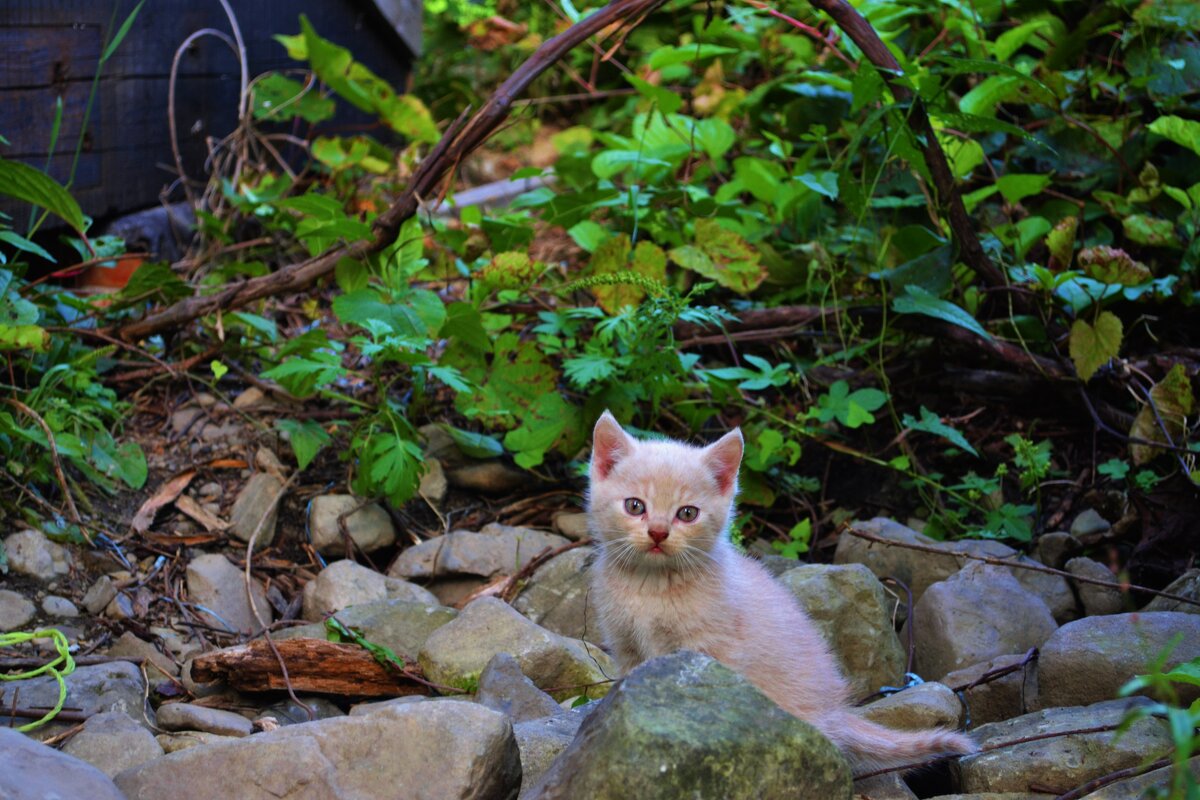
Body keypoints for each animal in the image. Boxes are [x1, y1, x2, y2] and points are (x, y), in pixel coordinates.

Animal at [588, 412, 974, 767]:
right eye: (635, 506)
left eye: (687, 513)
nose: (657, 533)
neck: (650, 585)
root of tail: (835, 713)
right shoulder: (627, 648)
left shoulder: (712, 650)